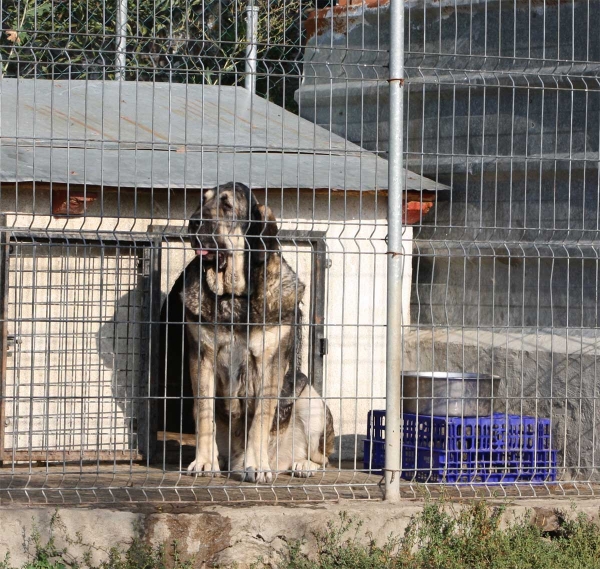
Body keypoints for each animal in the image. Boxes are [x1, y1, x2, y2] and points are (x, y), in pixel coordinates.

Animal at [180, 181, 336, 480]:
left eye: (227, 206)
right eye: (202, 201)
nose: (193, 222)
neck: (234, 297)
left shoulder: (269, 364)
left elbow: (260, 421)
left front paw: (257, 466)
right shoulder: (201, 359)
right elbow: (204, 414)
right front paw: (204, 462)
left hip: (311, 399)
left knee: (322, 458)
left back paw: (302, 466)